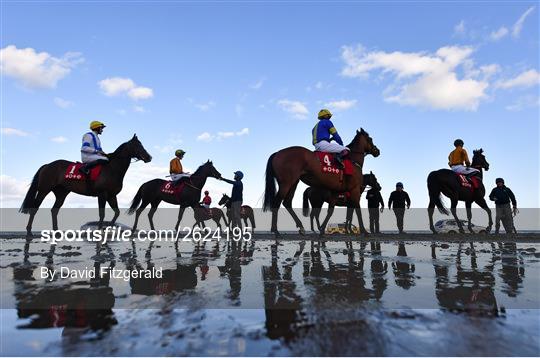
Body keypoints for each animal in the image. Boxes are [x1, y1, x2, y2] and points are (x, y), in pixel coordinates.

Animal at [19, 134, 152, 235]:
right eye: (138, 145)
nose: (149, 157)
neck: (112, 168)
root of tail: (47, 165)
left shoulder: (111, 196)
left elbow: (117, 212)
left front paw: (109, 227)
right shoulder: (102, 194)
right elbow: (102, 214)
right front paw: (100, 231)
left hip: (61, 193)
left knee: (54, 210)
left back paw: (56, 231)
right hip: (44, 190)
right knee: (35, 208)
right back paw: (29, 231)